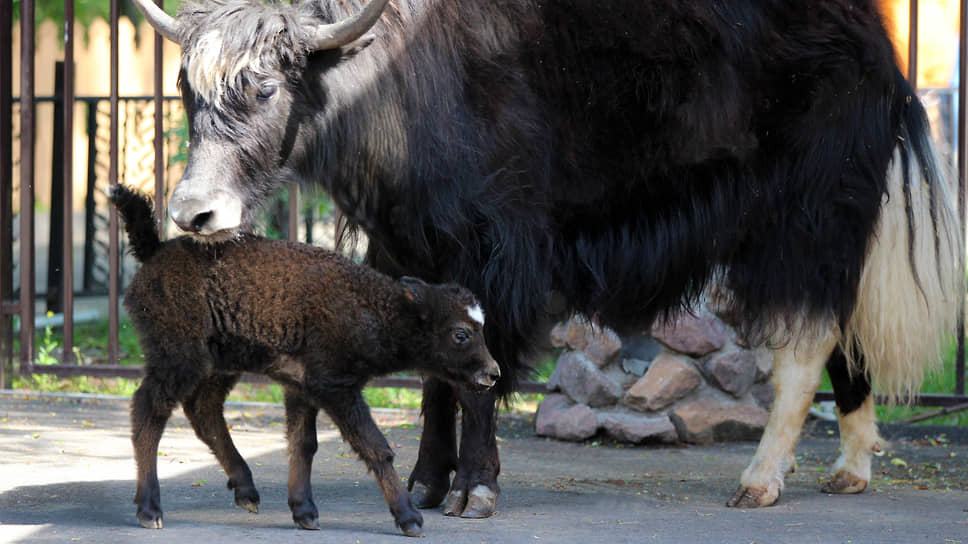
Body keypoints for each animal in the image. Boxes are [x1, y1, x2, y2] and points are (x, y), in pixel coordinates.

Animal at [111, 184, 500, 536]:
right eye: (461, 333)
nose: (492, 373)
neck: (376, 307)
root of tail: (155, 250)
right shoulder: (336, 387)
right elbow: (375, 447)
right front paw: (409, 518)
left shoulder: (300, 385)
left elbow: (303, 443)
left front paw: (305, 512)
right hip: (178, 357)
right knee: (149, 412)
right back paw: (150, 510)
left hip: (218, 364)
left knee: (203, 410)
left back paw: (246, 491)